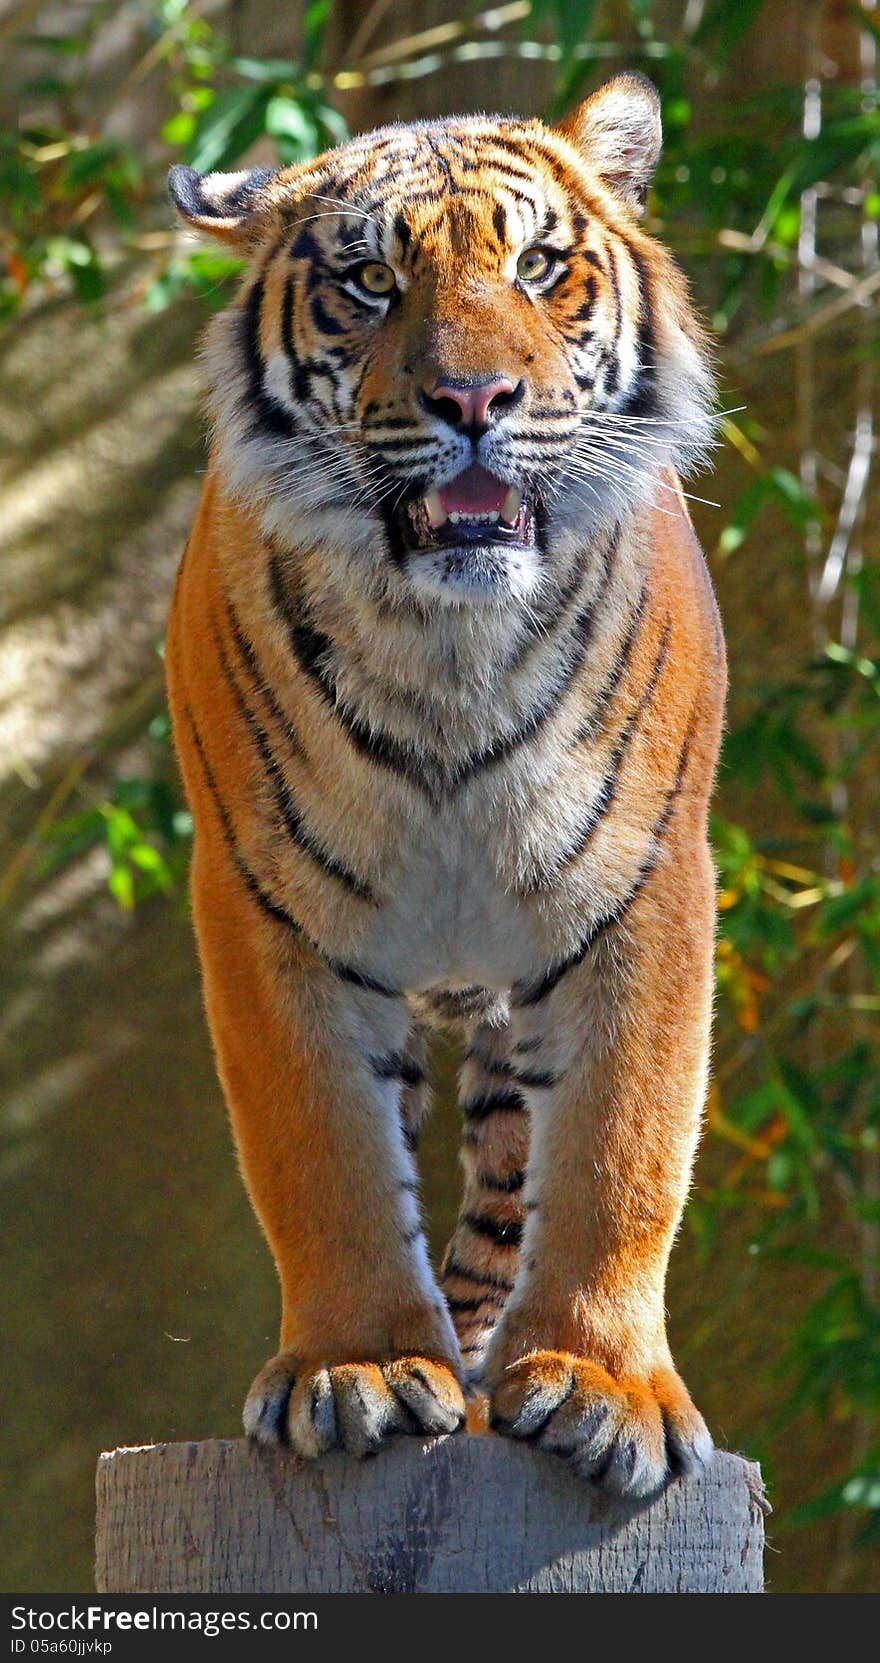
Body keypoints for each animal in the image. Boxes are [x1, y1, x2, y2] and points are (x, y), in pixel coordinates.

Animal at [163, 71, 721, 1503]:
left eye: (536, 266)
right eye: (369, 282)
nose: (476, 398)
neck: (448, 648)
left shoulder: (644, 885)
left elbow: (624, 1149)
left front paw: (602, 1385)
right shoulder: (262, 904)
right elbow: (324, 1158)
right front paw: (353, 1367)